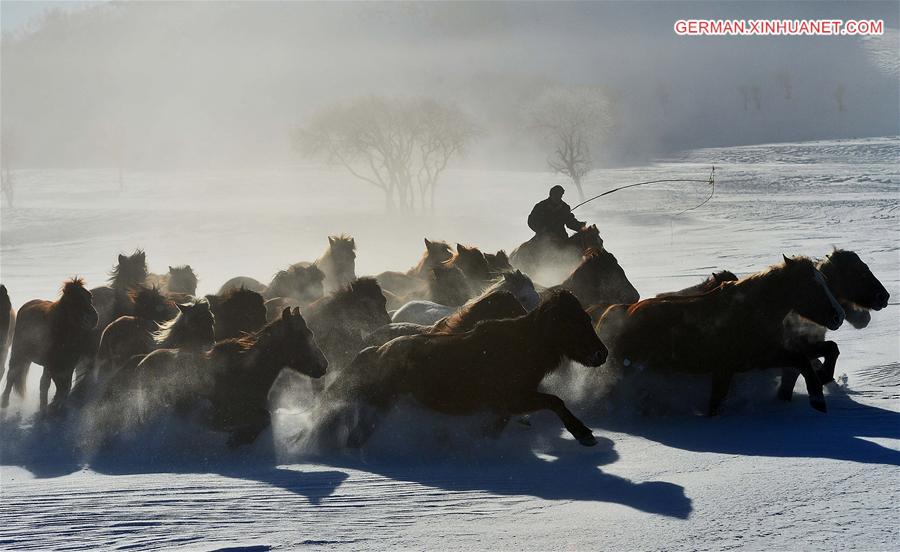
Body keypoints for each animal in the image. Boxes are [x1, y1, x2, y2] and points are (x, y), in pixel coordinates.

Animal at [103, 308, 326, 446]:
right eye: (303, 336)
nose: (323, 366)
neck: (247, 371)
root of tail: (141, 361)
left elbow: (265, 418)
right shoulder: (227, 412)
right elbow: (262, 418)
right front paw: (237, 439)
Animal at [320, 288, 608, 448]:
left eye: (586, 317)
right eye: (570, 322)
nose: (601, 353)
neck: (522, 346)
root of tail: (376, 351)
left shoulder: (504, 406)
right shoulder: (514, 399)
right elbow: (555, 401)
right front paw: (584, 434)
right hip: (379, 404)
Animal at [596, 256, 844, 416]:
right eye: (811, 286)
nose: (838, 316)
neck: (751, 310)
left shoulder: (743, 365)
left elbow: (828, 349)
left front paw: (824, 377)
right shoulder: (753, 360)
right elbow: (802, 360)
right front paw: (817, 398)